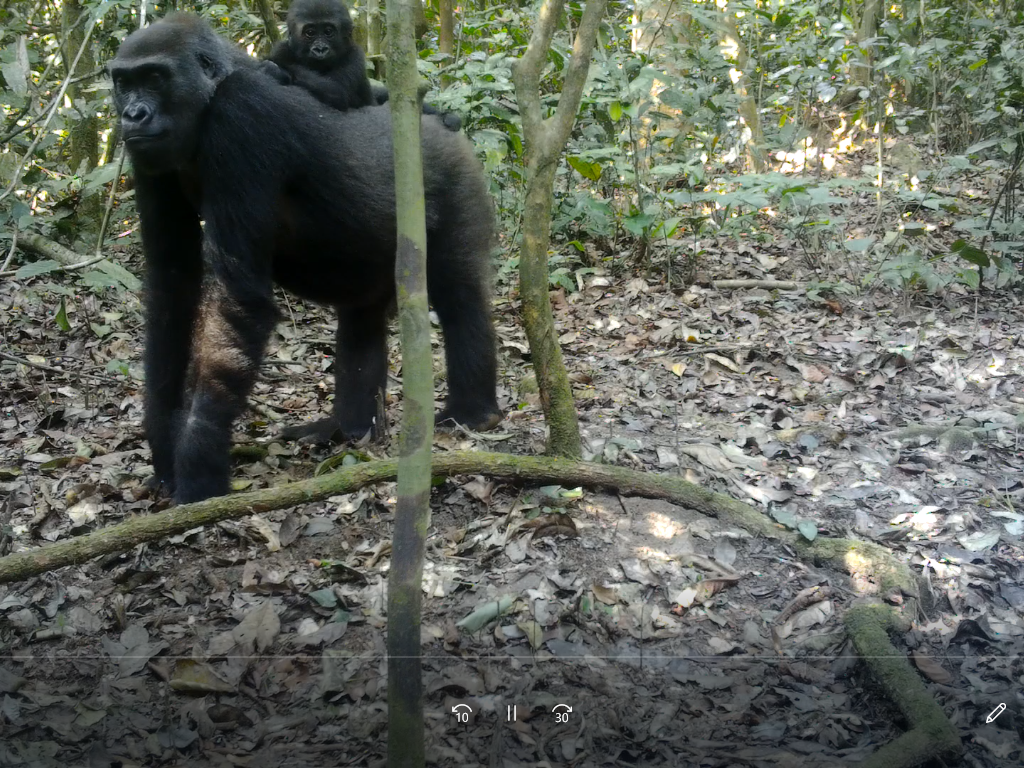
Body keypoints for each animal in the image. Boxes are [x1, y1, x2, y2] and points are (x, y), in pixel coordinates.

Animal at [108, 15, 499, 505]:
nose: (133, 115)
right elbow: (172, 286)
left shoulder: (243, 114)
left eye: (156, 78)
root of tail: (443, 128)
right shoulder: (149, 157)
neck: (210, 96)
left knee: (459, 295)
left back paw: (472, 411)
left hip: (458, 174)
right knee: (362, 319)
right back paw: (348, 428)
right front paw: (163, 442)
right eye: (124, 83)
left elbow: (237, 301)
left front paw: (200, 466)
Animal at [264, 0, 460, 129]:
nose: (320, 49)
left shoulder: (355, 56)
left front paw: (275, 67)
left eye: (328, 32)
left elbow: (337, 92)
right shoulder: (283, 47)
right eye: (310, 33)